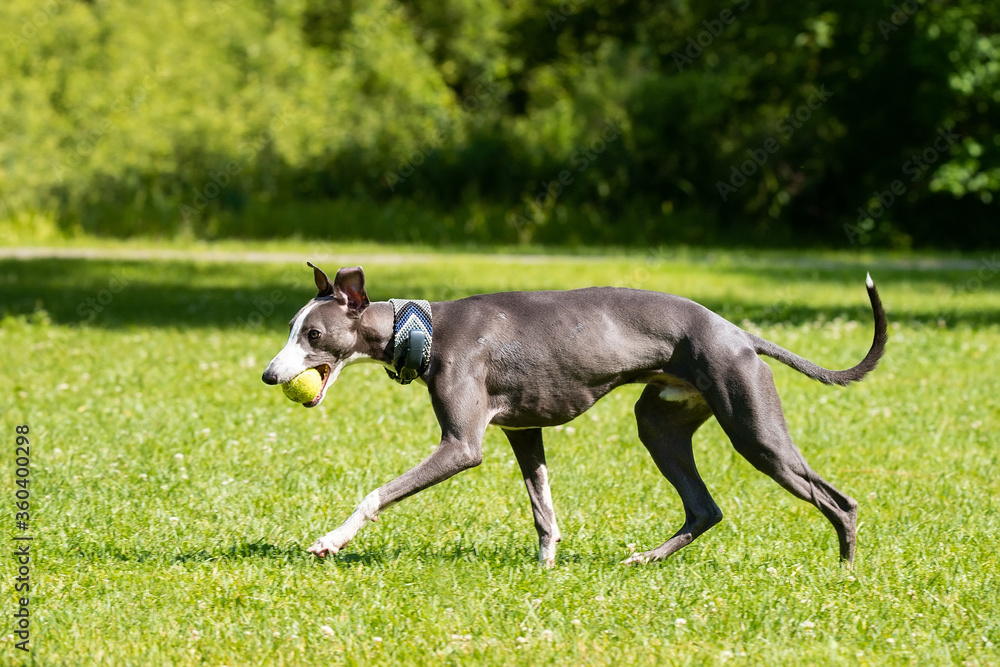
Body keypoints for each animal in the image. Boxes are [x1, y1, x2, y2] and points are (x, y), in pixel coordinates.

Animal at [262, 264, 888, 568]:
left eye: (311, 335)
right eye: (292, 328)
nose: (270, 375)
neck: (423, 329)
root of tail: (739, 335)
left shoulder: (462, 446)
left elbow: (375, 495)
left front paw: (330, 541)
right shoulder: (524, 433)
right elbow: (543, 511)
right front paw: (545, 568)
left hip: (756, 431)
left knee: (839, 501)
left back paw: (844, 571)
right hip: (659, 426)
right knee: (704, 508)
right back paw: (643, 559)